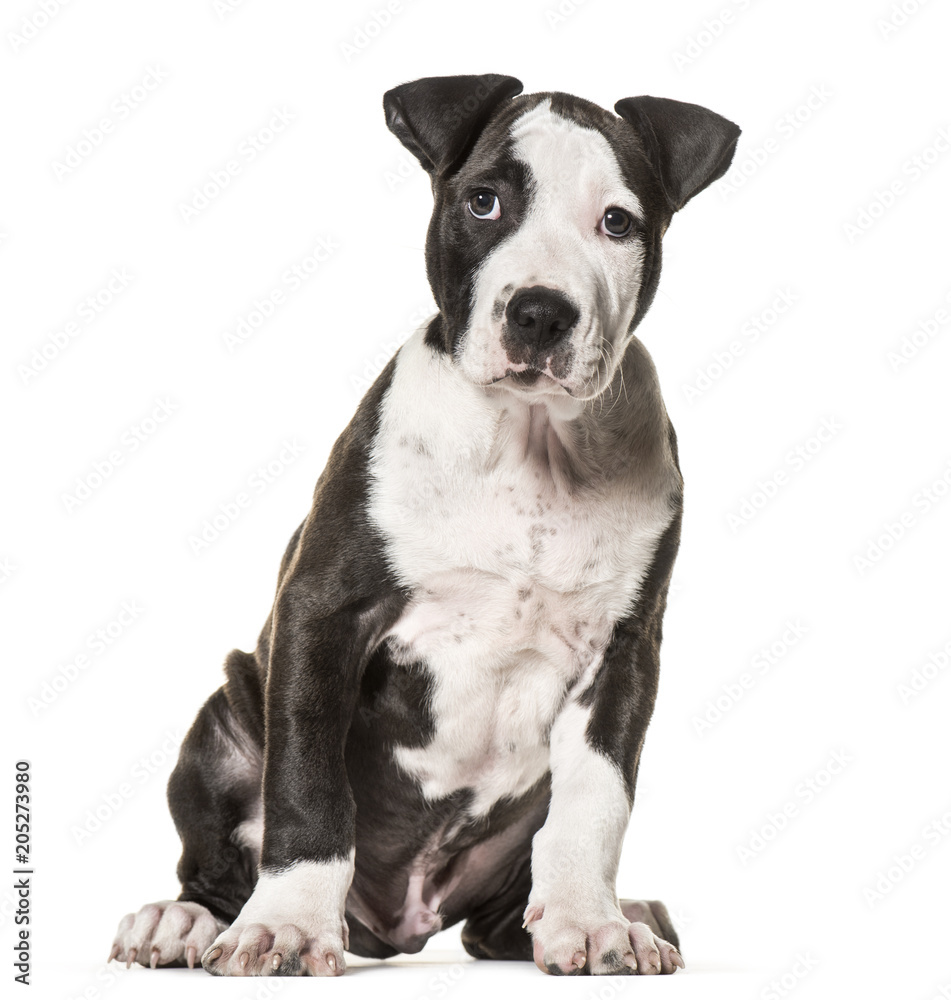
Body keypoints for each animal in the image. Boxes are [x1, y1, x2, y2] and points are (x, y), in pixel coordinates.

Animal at [108, 76, 740, 976]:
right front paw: (287, 926)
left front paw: (590, 922)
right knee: (216, 866)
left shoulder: (624, 650)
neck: (527, 441)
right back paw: (184, 921)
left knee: (501, 912)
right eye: (483, 202)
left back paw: (611, 911)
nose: (540, 314)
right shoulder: (323, 612)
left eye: (617, 223)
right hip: (223, 718)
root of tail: (393, 925)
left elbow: (595, 801)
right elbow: (307, 787)